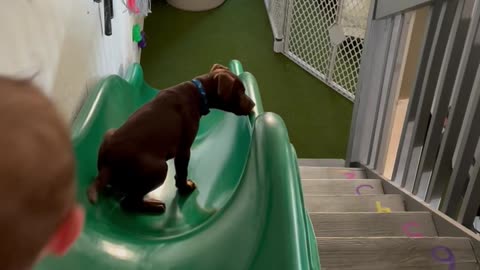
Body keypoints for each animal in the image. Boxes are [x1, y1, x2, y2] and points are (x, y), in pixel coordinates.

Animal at [88, 64, 256, 214]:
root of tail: (106, 167)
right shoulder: (184, 149)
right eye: (240, 91)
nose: (254, 104)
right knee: (129, 203)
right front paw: (185, 188)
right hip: (160, 168)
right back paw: (154, 206)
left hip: (109, 133)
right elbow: (182, 172)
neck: (198, 92)